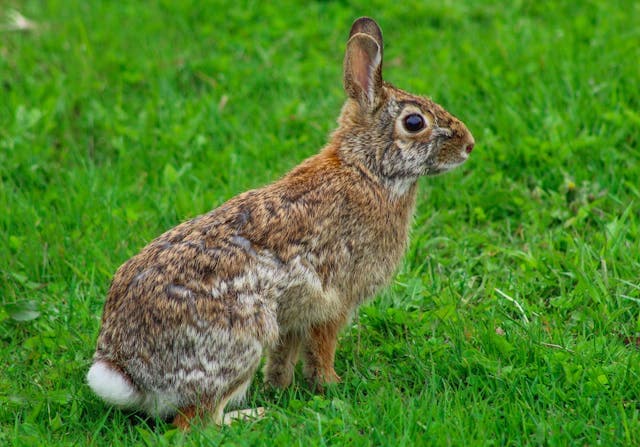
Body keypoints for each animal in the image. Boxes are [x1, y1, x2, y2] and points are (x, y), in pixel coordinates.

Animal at [87, 16, 475, 429]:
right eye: (415, 122)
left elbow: (285, 356)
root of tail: (128, 370)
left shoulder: (294, 316)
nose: (469, 145)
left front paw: (281, 386)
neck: (368, 170)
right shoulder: (335, 300)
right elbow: (322, 348)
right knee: (197, 422)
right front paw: (331, 385)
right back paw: (252, 415)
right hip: (242, 340)